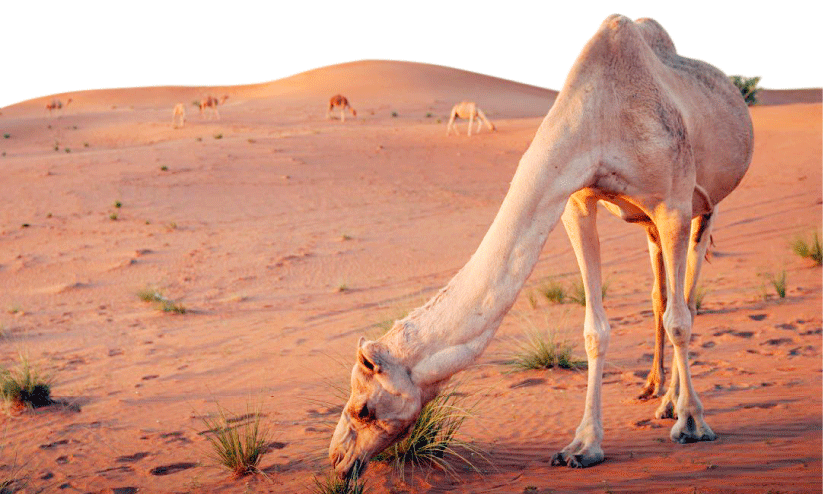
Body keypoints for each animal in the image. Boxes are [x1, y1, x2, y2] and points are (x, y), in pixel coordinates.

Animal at [329, 14, 753, 478]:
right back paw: (653, 391)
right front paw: (582, 446)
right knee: (660, 294)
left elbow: (680, 320)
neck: (601, 116)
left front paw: (693, 424)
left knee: (686, 298)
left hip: (704, 207)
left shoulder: (673, 204)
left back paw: (675, 403)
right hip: (648, 224)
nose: (338, 458)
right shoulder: (576, 202)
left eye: (364, 408)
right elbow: (595, 330)